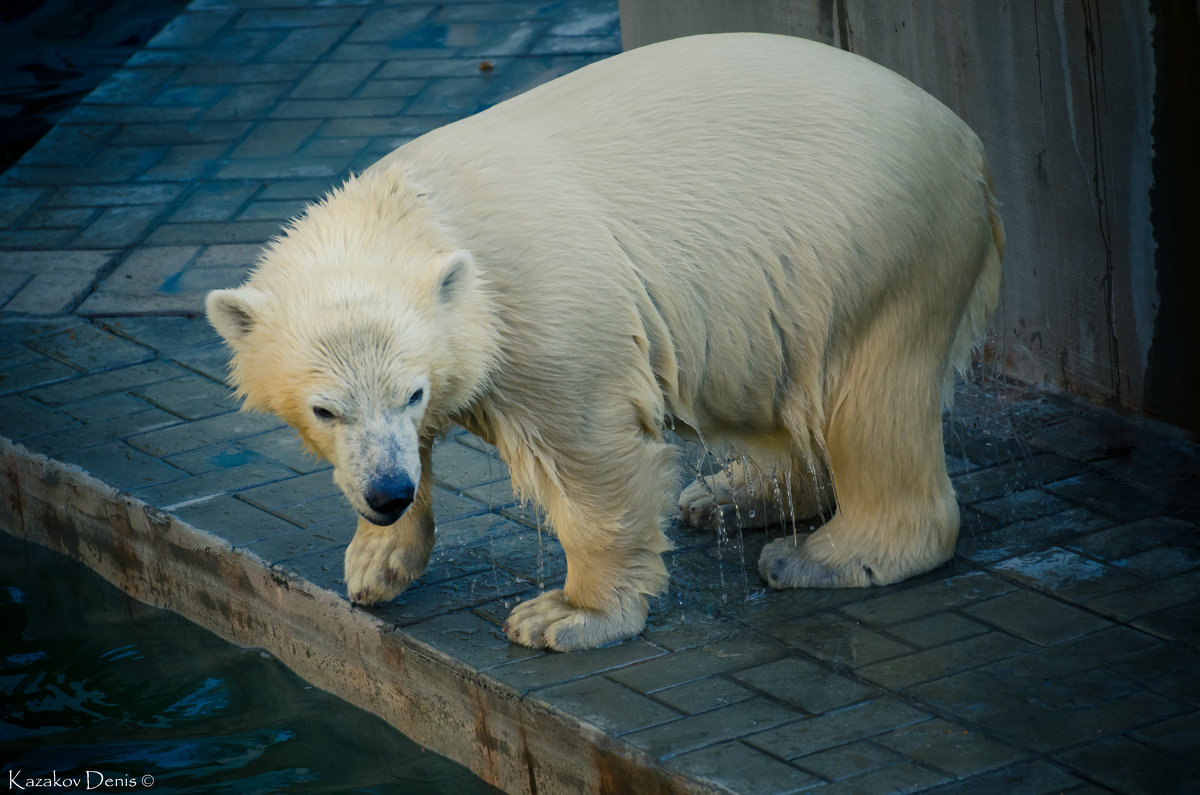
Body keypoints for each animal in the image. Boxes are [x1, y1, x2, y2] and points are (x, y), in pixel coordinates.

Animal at [206, 31, 1003, 653]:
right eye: (325, 409)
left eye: (411, 390)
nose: (386, 494)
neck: (420, 210)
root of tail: (968, 142)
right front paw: (375, 562)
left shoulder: (544, 308)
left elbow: (589, 454)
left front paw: (565, 615)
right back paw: (732, 494)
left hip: (873, 243)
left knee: (864, 400)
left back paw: (818, 556)